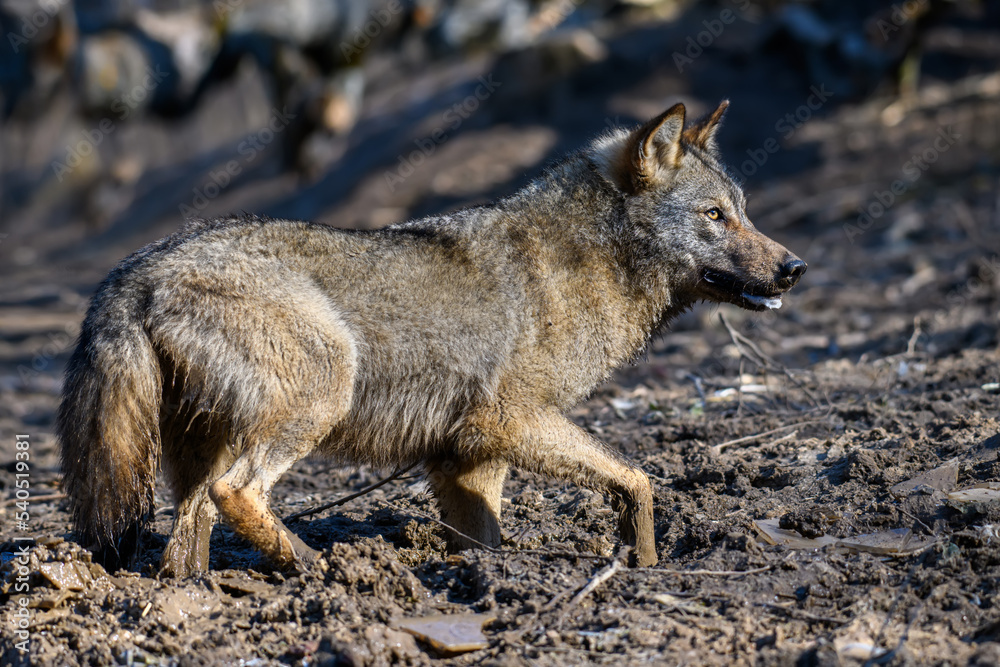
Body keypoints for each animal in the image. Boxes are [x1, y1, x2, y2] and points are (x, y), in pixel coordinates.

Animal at [56, 102, 804, 576]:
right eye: (714, 216)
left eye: (743, 212)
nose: (795, 267)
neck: (583, 262)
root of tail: (134, 268)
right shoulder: (509, 422)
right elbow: (640, 479)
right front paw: (644, 564)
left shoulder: (465, 457)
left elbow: (489, 539)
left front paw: (493, 579)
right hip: (322, 390)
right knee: (235, 492)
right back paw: (319, 569)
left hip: (198, 457)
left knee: (184, 538)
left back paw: (197, 601)